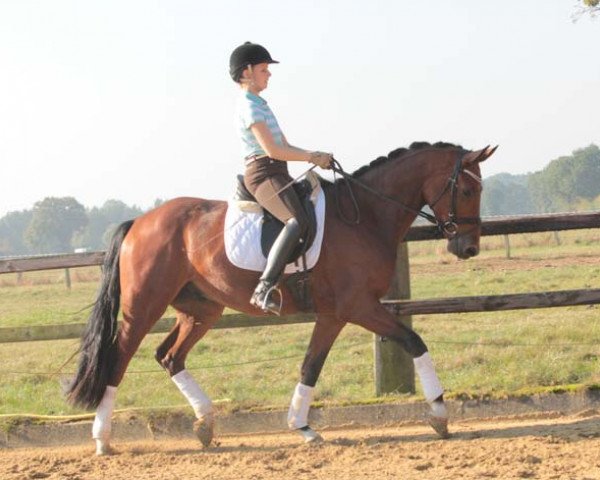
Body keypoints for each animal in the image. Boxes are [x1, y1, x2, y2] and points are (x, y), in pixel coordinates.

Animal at [65, 142, 496, 454]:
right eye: (468, 189)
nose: (469, 248)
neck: (366, 217)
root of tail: (140, 221)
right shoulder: (356, 307)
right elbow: (411, 341)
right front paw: (438, 413)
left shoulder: (335, 314)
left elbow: (310, 366)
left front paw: (302, 427)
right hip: (144, 307)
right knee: (119, 357)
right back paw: (103, 438)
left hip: (201, 309)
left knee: (169, 356)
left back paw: (205, 424)